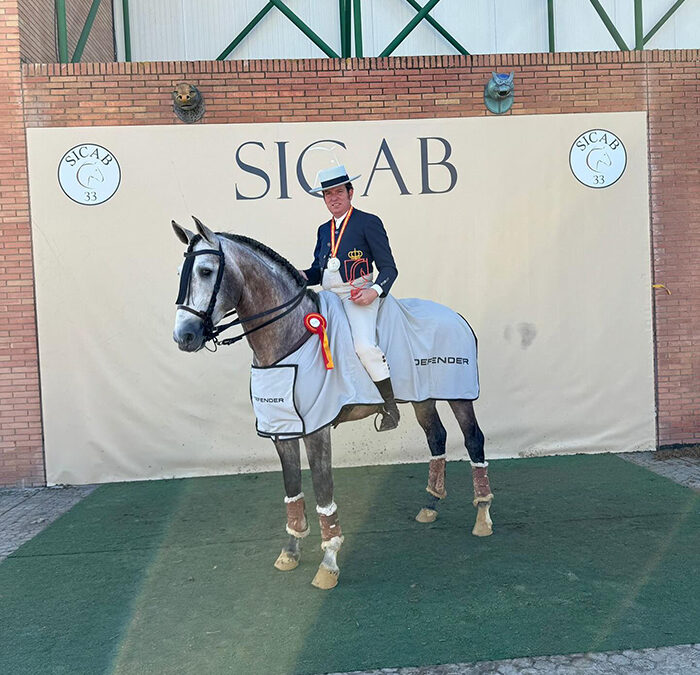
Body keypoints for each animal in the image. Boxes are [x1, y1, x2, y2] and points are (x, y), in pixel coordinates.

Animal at [174, 218, 492, 592]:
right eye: (181, 272)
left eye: (206, 271)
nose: (184, 336)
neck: (290, 340)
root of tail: (456, 315)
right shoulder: (283, 431)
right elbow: (292, 489)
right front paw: (291, 550)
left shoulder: (316, 431)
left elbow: (323, 492)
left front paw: (328, 563)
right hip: (423, 398)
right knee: (437, 437)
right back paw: (430, 504)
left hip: (459, 396)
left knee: (473, 440)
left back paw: (483, 516)